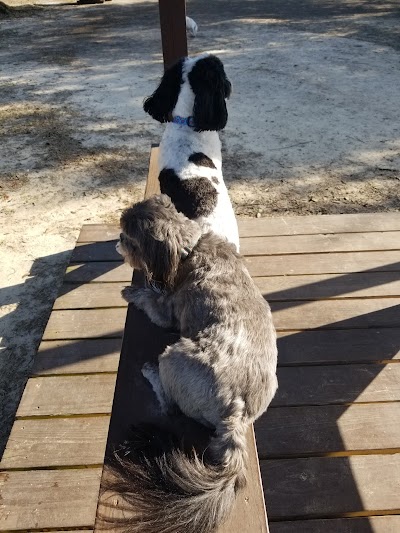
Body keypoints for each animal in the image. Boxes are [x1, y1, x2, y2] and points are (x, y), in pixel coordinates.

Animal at [111, 195, 276, 532]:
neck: (191, 247)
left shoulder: (166, 311)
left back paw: (151, 371)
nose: (117, 240)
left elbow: (150, 301)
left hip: (173, 357)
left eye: (129, 239)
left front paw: (133, 291)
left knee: (169, 402)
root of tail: (236, 412)